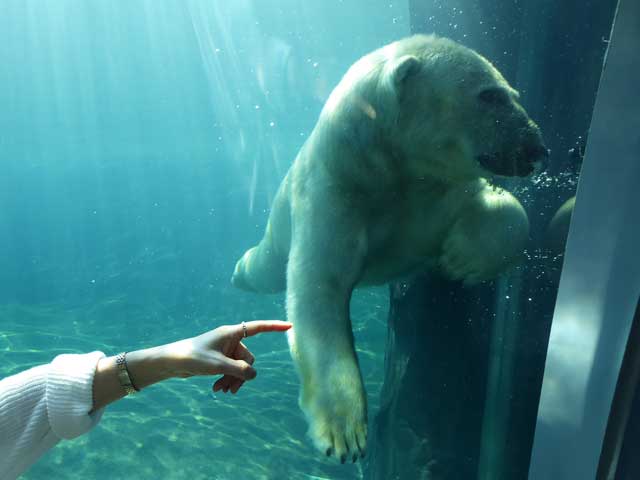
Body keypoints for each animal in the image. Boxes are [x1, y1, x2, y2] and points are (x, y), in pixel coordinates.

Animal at [230, 35, 544, 464]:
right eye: (489, 95)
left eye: (513, 93)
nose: (537, 147)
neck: (390, 169)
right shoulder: (335, 194)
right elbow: (319, 292)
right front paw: (345, 433)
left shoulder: (437, 194)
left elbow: (507, 210)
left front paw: (461, 258)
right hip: (280, 228)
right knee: (263, 266)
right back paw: (237, 271)